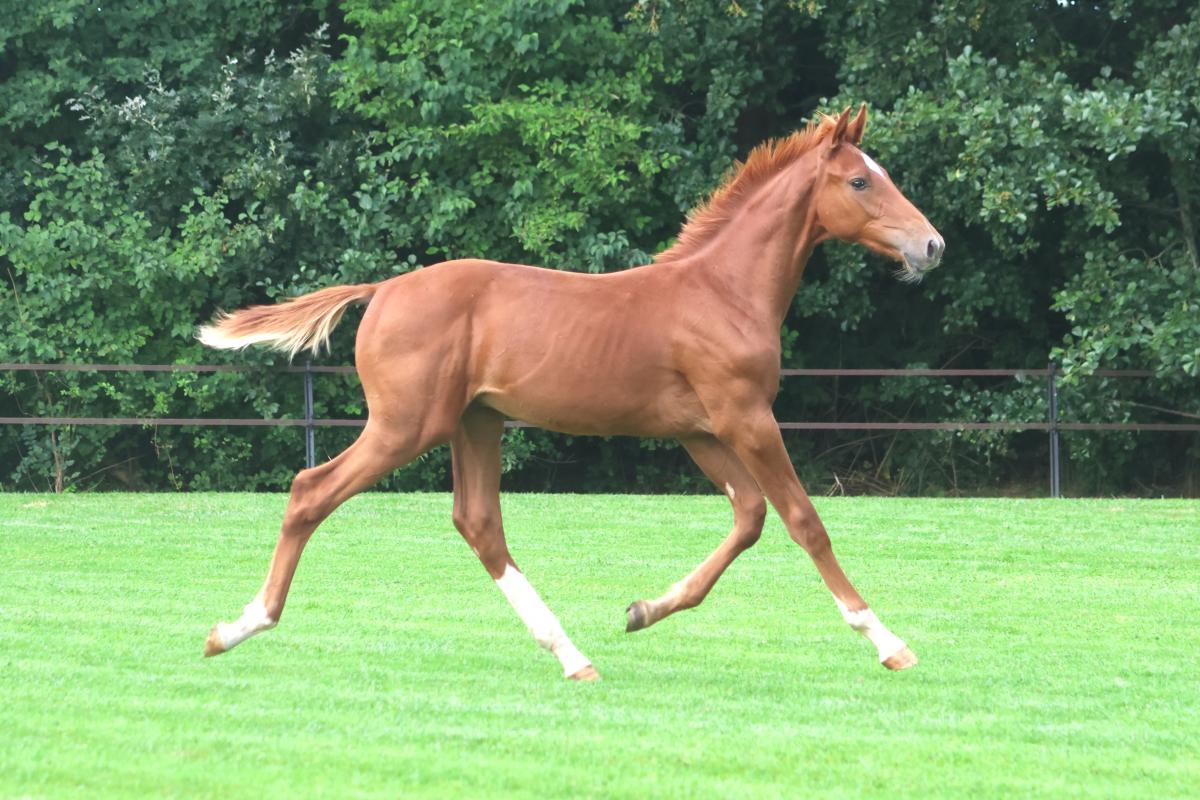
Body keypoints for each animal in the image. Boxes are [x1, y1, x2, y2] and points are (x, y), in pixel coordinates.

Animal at [198, 105, 944, 680]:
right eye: (859, 180)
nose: (932, 245)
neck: (722, 292)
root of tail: (381, 290)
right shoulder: (745, 418)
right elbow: (802, 519)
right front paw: (888, 642)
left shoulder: (699, 430)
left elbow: (750, 517)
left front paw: (643, 611)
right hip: (409, 425)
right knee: (311, 491)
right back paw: (237, 628)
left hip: (476, 422)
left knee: (478, 524)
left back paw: (571, 654)